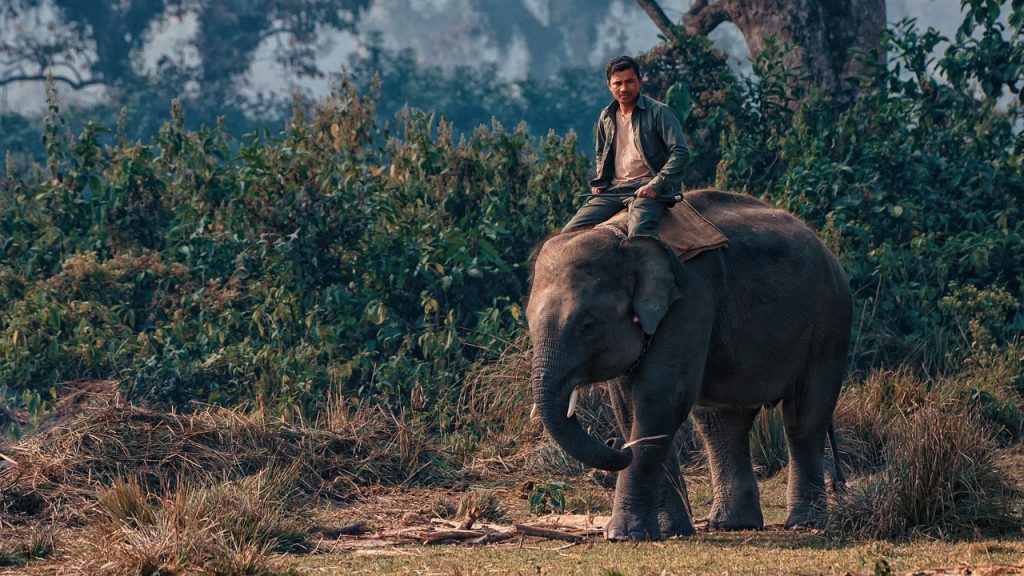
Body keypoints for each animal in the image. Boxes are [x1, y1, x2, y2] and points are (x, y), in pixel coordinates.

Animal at [524, 190, 851, 541]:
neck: (622, 236)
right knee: (721, 422)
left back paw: (804, 523)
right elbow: (629, 407)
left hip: (830, 323)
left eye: (587, 326)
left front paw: (624, 535)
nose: (618, 447)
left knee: (803, 418)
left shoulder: (690, 299)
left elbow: (660, 398)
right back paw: (733, 524)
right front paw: (670, 531)